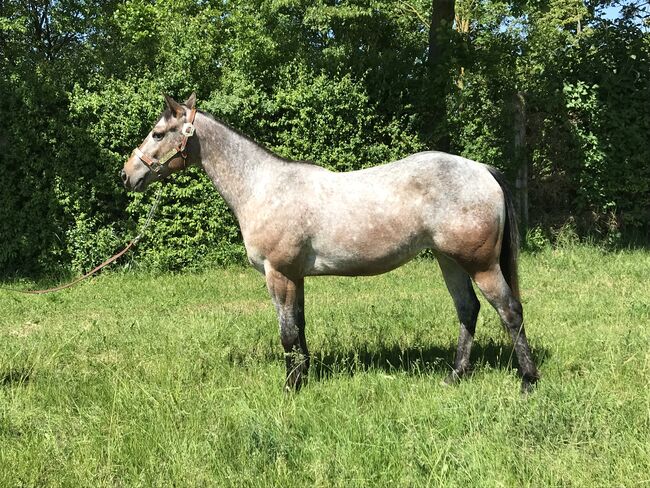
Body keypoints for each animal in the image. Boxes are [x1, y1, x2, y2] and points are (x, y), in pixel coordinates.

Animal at [120, 94, 536, 392]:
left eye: (158, 134)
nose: (128, 175)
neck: (263, 186)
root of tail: (482, 170)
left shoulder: (279, 274)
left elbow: (287, 332)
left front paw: (290, 388)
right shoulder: (295, 276)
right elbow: (299, 326)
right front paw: (303, 378)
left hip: (480, 264)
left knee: (509, 311)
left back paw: (528, 382)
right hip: (448, 259)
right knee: (468, 310)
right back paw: (455, 376)